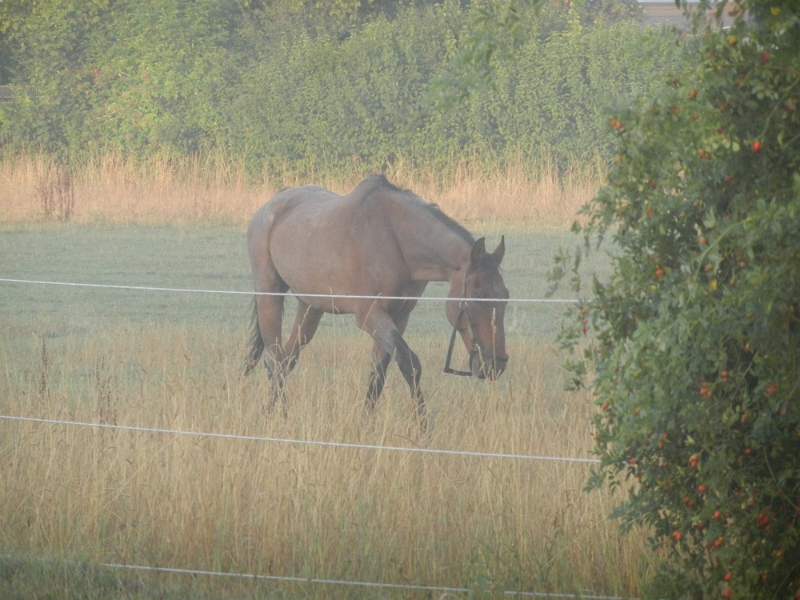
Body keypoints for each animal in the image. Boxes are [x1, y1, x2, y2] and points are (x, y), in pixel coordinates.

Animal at [244, 173, 510, 426]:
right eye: (477, 296)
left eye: (506, 297)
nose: (496, 365)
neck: (395, 241)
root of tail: (274, 202)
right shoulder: (370, 315)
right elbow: (409, 364)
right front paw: (423, 429)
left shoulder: (399, 317)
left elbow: (378, 374)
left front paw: (364, 427)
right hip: (270, 296)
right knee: (273, 359)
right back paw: (279, 418)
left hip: (310, 307)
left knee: (286, 360)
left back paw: (272, 414)